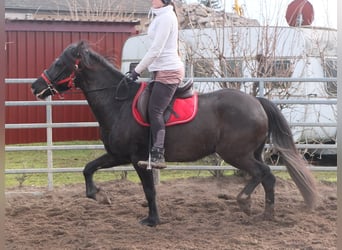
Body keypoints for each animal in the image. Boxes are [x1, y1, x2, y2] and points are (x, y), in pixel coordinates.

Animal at [30, 41, 316, 227]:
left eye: (59, 62)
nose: (36, 86)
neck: (118, 102)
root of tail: (257, 101)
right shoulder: (117, 155)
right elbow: (88, 169)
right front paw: (101, 196)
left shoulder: (138, 159)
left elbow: (149, 190)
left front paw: (152, 220)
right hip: (250, 153)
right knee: (267, 177)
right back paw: (267, 214)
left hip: (236, 154)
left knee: (262, 173)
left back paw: (246, 202)